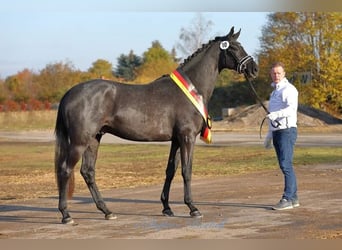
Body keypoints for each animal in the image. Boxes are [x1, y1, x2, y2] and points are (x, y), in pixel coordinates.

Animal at [54, 26, 258, 224]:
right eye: (234, 48)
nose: (254, 68)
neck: (190, 90)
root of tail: (69, 94)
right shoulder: (187, 137)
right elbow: (187, 171)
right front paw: (193, 208)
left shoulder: (176, 140)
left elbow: (170, 171)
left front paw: (167, 208)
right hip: (80, 141)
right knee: (65, 170)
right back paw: (66, 215)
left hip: (94, 139)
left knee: (88, 172)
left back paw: (107, 211)